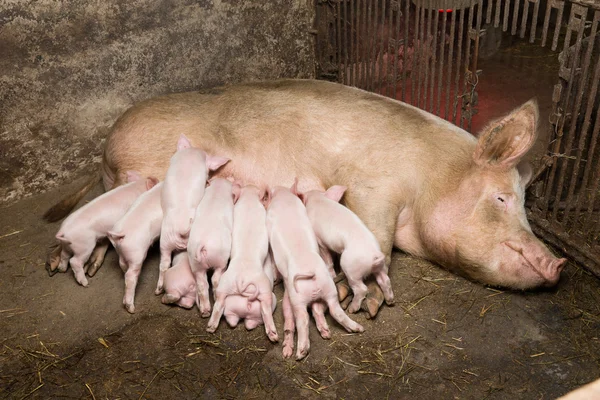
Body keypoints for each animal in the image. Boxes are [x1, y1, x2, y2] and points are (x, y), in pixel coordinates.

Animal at [47, 77, 568, 316]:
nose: (558, 263)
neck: (431, 178)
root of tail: (105, 147)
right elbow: (376, 238)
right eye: (501, 200)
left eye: (525, 202)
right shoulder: (373, 187)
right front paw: (361, 300)